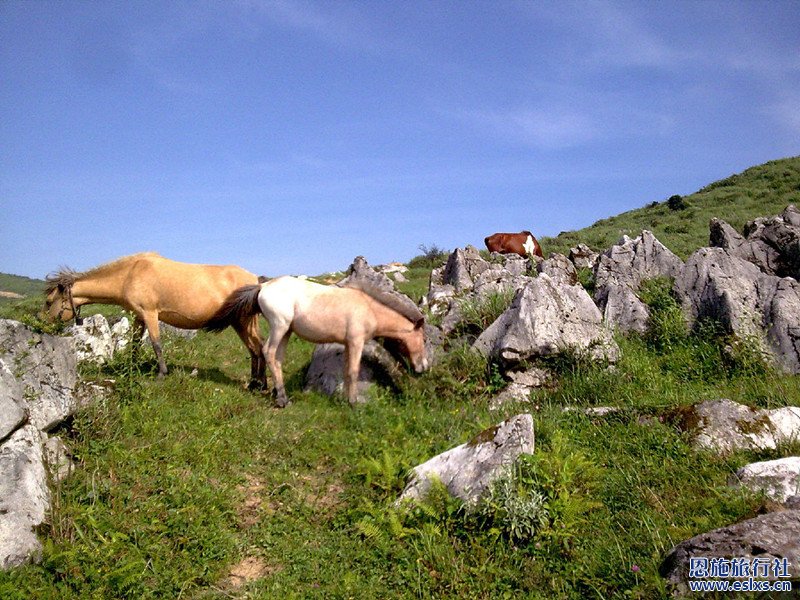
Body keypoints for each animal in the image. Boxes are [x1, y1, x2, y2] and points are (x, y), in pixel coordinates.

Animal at [44, 251, 266, 386]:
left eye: (48, 302)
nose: (42, 324)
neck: (130, 274)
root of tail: (255, 280)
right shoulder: (139, 317)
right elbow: (134, 344)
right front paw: (132, 368)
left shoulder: (150, 313)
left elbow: (156, 343)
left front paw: (161, 373)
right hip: (241, 323)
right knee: (254, 349)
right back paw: (255, 383)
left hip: (245, 322)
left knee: (259, 347)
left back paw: (260, 384)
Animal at [206, 276, 432, 408]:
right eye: (423, 338)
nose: (423, 367)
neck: (368, 308)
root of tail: (263, 286)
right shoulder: (356, 342)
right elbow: (353, 372)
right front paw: (353, 404)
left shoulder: (348, 344)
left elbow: (347, 372)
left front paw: (346, 400)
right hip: (279, 326)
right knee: (268, 352)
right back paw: (281, 400)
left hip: (286, 332)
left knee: (277, 358)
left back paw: (280, 394)